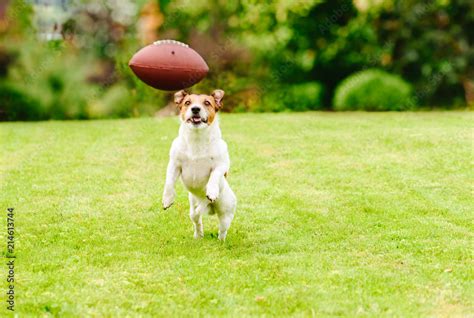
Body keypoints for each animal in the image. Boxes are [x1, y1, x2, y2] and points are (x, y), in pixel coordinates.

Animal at [163, 89, 237, 241]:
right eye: (187, 102)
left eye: (207, 103)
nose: (195, 109)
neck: (197, 139)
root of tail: (211, 209)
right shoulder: (174, 164)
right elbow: (169, 182)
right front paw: (167, 199)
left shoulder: (222, 165)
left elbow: (215, 175)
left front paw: (212, 191)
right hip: (193, 206)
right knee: (196, 218)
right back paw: (198, 235)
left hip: (226, 213)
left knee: (222, 230)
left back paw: (221, 240)